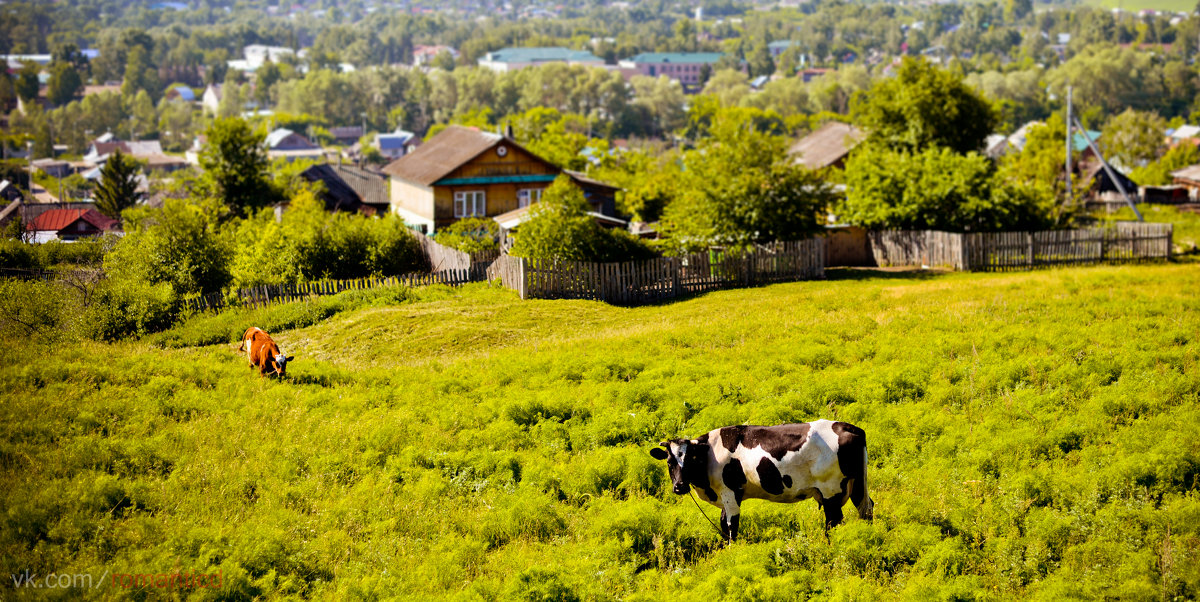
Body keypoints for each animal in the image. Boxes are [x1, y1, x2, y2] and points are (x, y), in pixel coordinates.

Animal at [652, 419, 878, 542]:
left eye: (690, 459)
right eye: (670, 462)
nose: (679, 486)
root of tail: (849, 427)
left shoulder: (730, 493)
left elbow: (731, 526)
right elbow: (723, 525)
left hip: (831, 489)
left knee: (833, 520)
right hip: (857, 484)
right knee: (865, 508)